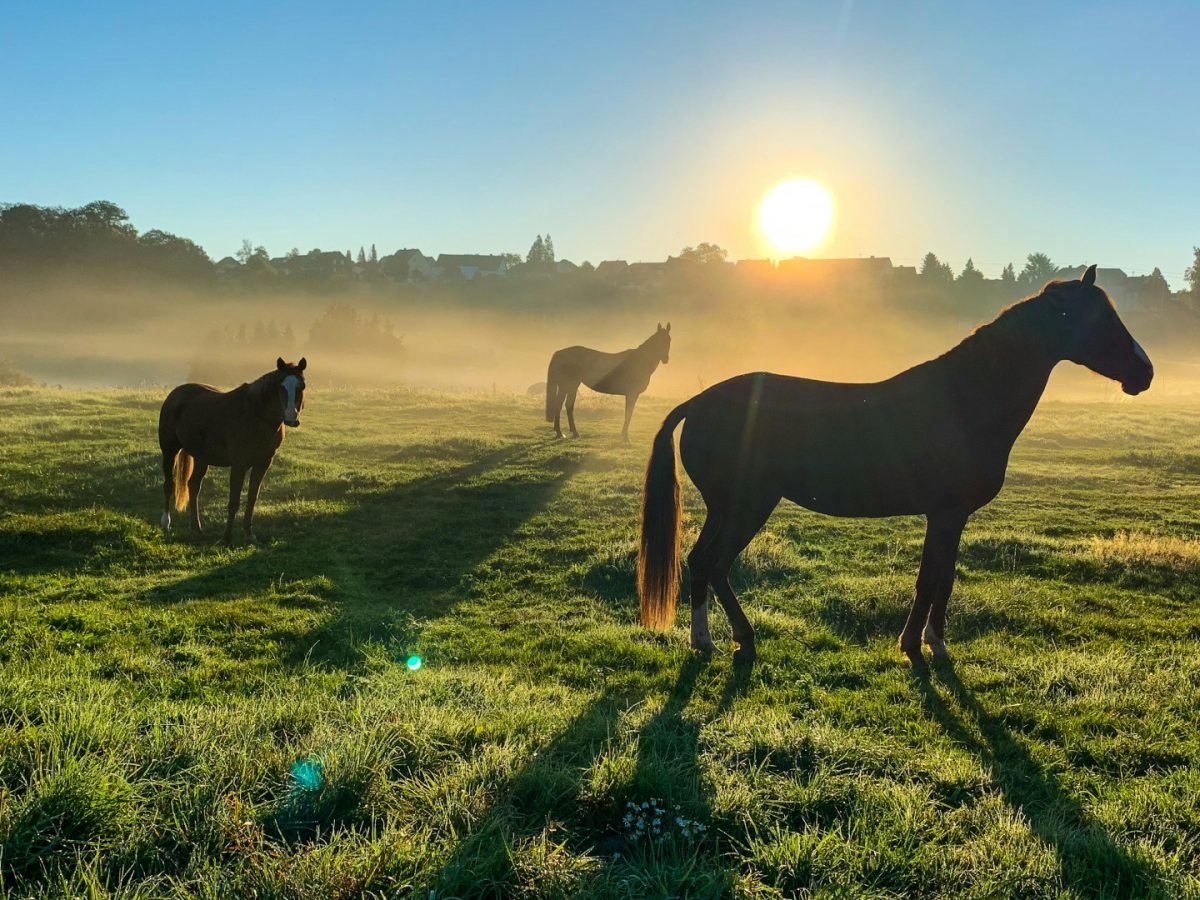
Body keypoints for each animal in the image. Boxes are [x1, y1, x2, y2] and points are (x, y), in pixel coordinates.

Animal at [157, 357, 307, 547]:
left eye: (301, 386)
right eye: (281, 387)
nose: (291, 418)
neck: (256, 417)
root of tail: (175, 394)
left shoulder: (262, 464)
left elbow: (252, 498)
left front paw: (249, 534)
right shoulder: (239, 465)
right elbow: (234, 502)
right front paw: (226, 538)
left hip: (201, 457)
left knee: (193, 486)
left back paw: (197, 528)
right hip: (170, 451)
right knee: (169, 484)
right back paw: (166, 524)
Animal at [638, 264, 1152, 672]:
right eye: (1101, 318)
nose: (1145, 373)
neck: (964, 399)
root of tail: (699, 401)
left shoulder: (951, 517)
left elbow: (943, 578)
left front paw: (931, 642)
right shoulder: (945, 514)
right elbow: (930, 580)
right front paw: (920, 646)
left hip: (727, 508)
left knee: (701, 563)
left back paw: (711, 640)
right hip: (748, 506)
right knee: (715, 563)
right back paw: (734, 639)